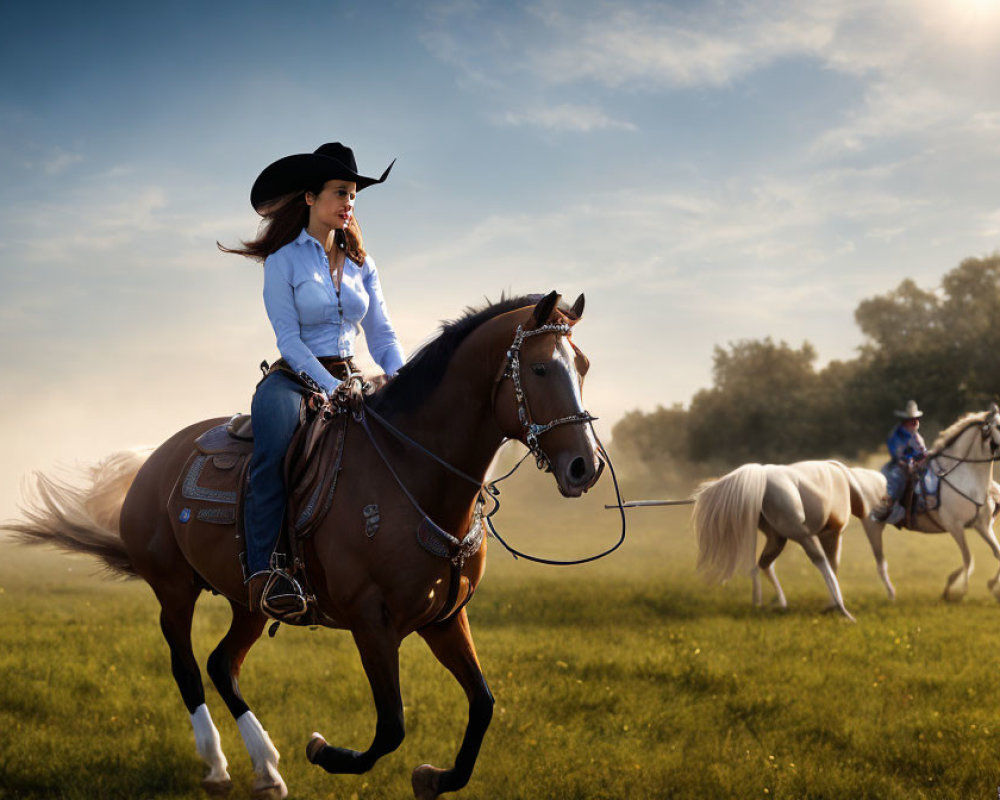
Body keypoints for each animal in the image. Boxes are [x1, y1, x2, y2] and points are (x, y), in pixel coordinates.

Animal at [9, 292, 600, 800]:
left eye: (584, 365)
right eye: (540, 369)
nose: (584, 467)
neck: (409, 468)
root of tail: (154, 462)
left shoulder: (445, 617)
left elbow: (482, 705)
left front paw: (431, 777)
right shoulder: (371, 620)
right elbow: (390, 727)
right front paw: (322, 751)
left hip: (251, 598)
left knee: (222, 664)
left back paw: (267, 770)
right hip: (174, 589)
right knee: (186, 667)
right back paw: (218, 766)